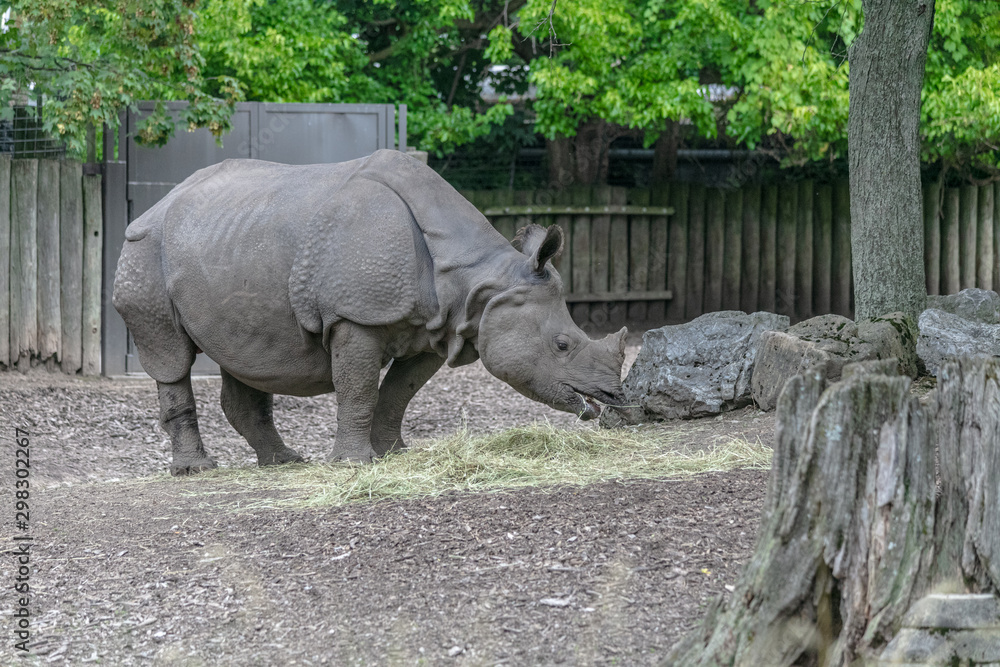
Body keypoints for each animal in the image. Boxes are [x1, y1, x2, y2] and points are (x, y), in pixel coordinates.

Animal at [113, 149, 627, 474]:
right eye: (562, 345)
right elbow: (358, 387)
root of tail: (156, 203)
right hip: (144, 250)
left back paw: (284, 461)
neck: (480, 282)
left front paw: (394, 453)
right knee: (170, 356)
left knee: (245, 357)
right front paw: (354, 463)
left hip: (230, 244)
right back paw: (195, 470)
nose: (613, 397)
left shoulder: (435, 329)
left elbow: (399, 392)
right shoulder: (355, 316)